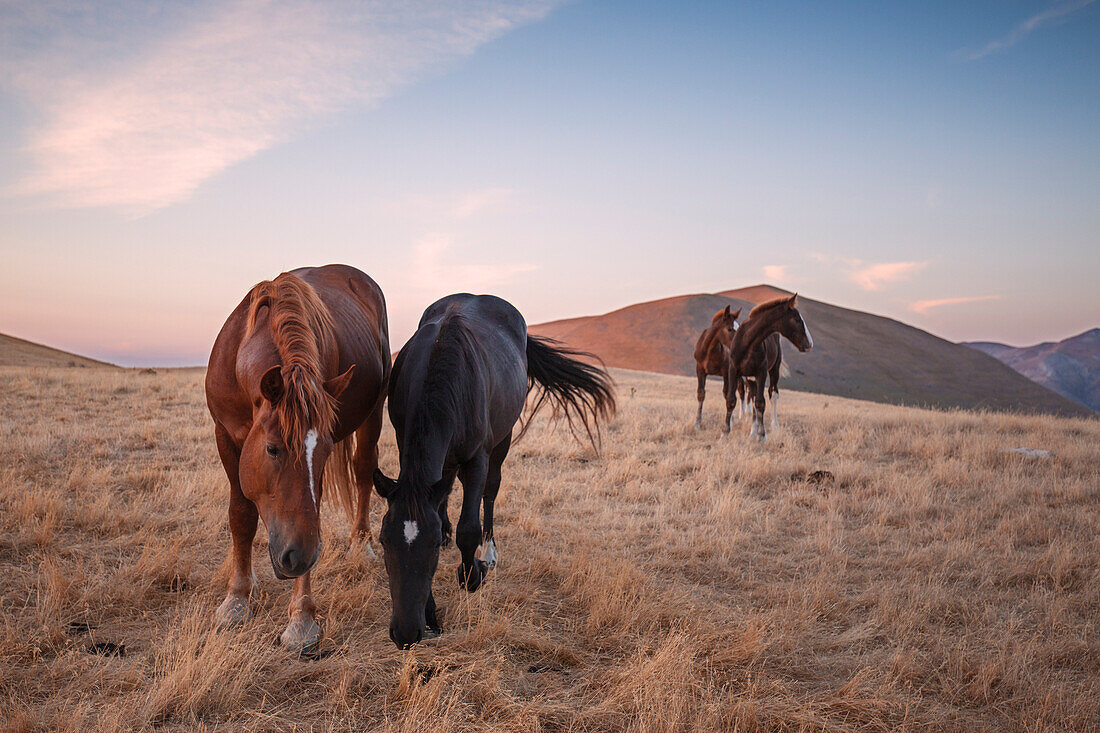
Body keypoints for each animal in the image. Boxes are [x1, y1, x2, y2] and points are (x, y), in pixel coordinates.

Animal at [206, 264, 391, 651]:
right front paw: (237, 597)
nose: (300, 556)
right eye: (273, 449)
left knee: (363, 470)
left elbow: (312, 511)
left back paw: (360, 544)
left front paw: (302, 618)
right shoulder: (224, 436)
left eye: (323, 452)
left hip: (374, 413)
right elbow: (241, 515)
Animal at [374, 290, 616, 647]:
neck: (444, 367)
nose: (405, 633)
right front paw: (432, 613)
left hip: (503, 440)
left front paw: (473, 574)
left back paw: (488, 553)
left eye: (429, 549)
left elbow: (469, 529)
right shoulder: (407, 446)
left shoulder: (478, 459)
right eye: (383, 542)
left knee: (490, 492)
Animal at [726, 292, 814, 440]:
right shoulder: (734, 371)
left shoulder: (761, 372)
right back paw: (752, 432)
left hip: (773, 370)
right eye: (797, 319)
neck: (747, 342)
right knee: (753, 398)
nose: (810, 344)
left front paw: (762, 436)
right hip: (751, 378)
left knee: (773, 395)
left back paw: (774, 426)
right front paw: (725, 434)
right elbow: (732, 400)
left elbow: (761, 403)